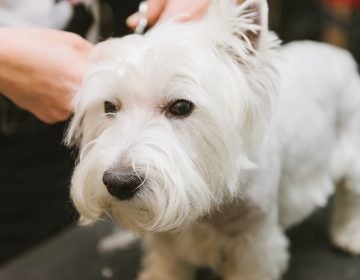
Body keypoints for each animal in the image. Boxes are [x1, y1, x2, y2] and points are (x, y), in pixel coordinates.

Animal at [64, 0, 360, 278]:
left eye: (181, 106)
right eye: (109, 107)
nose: (119, 182)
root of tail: (340, 54)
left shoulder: (255, 242)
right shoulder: (166, 238)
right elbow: (167, 266)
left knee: (351, 196)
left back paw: (349, 236)